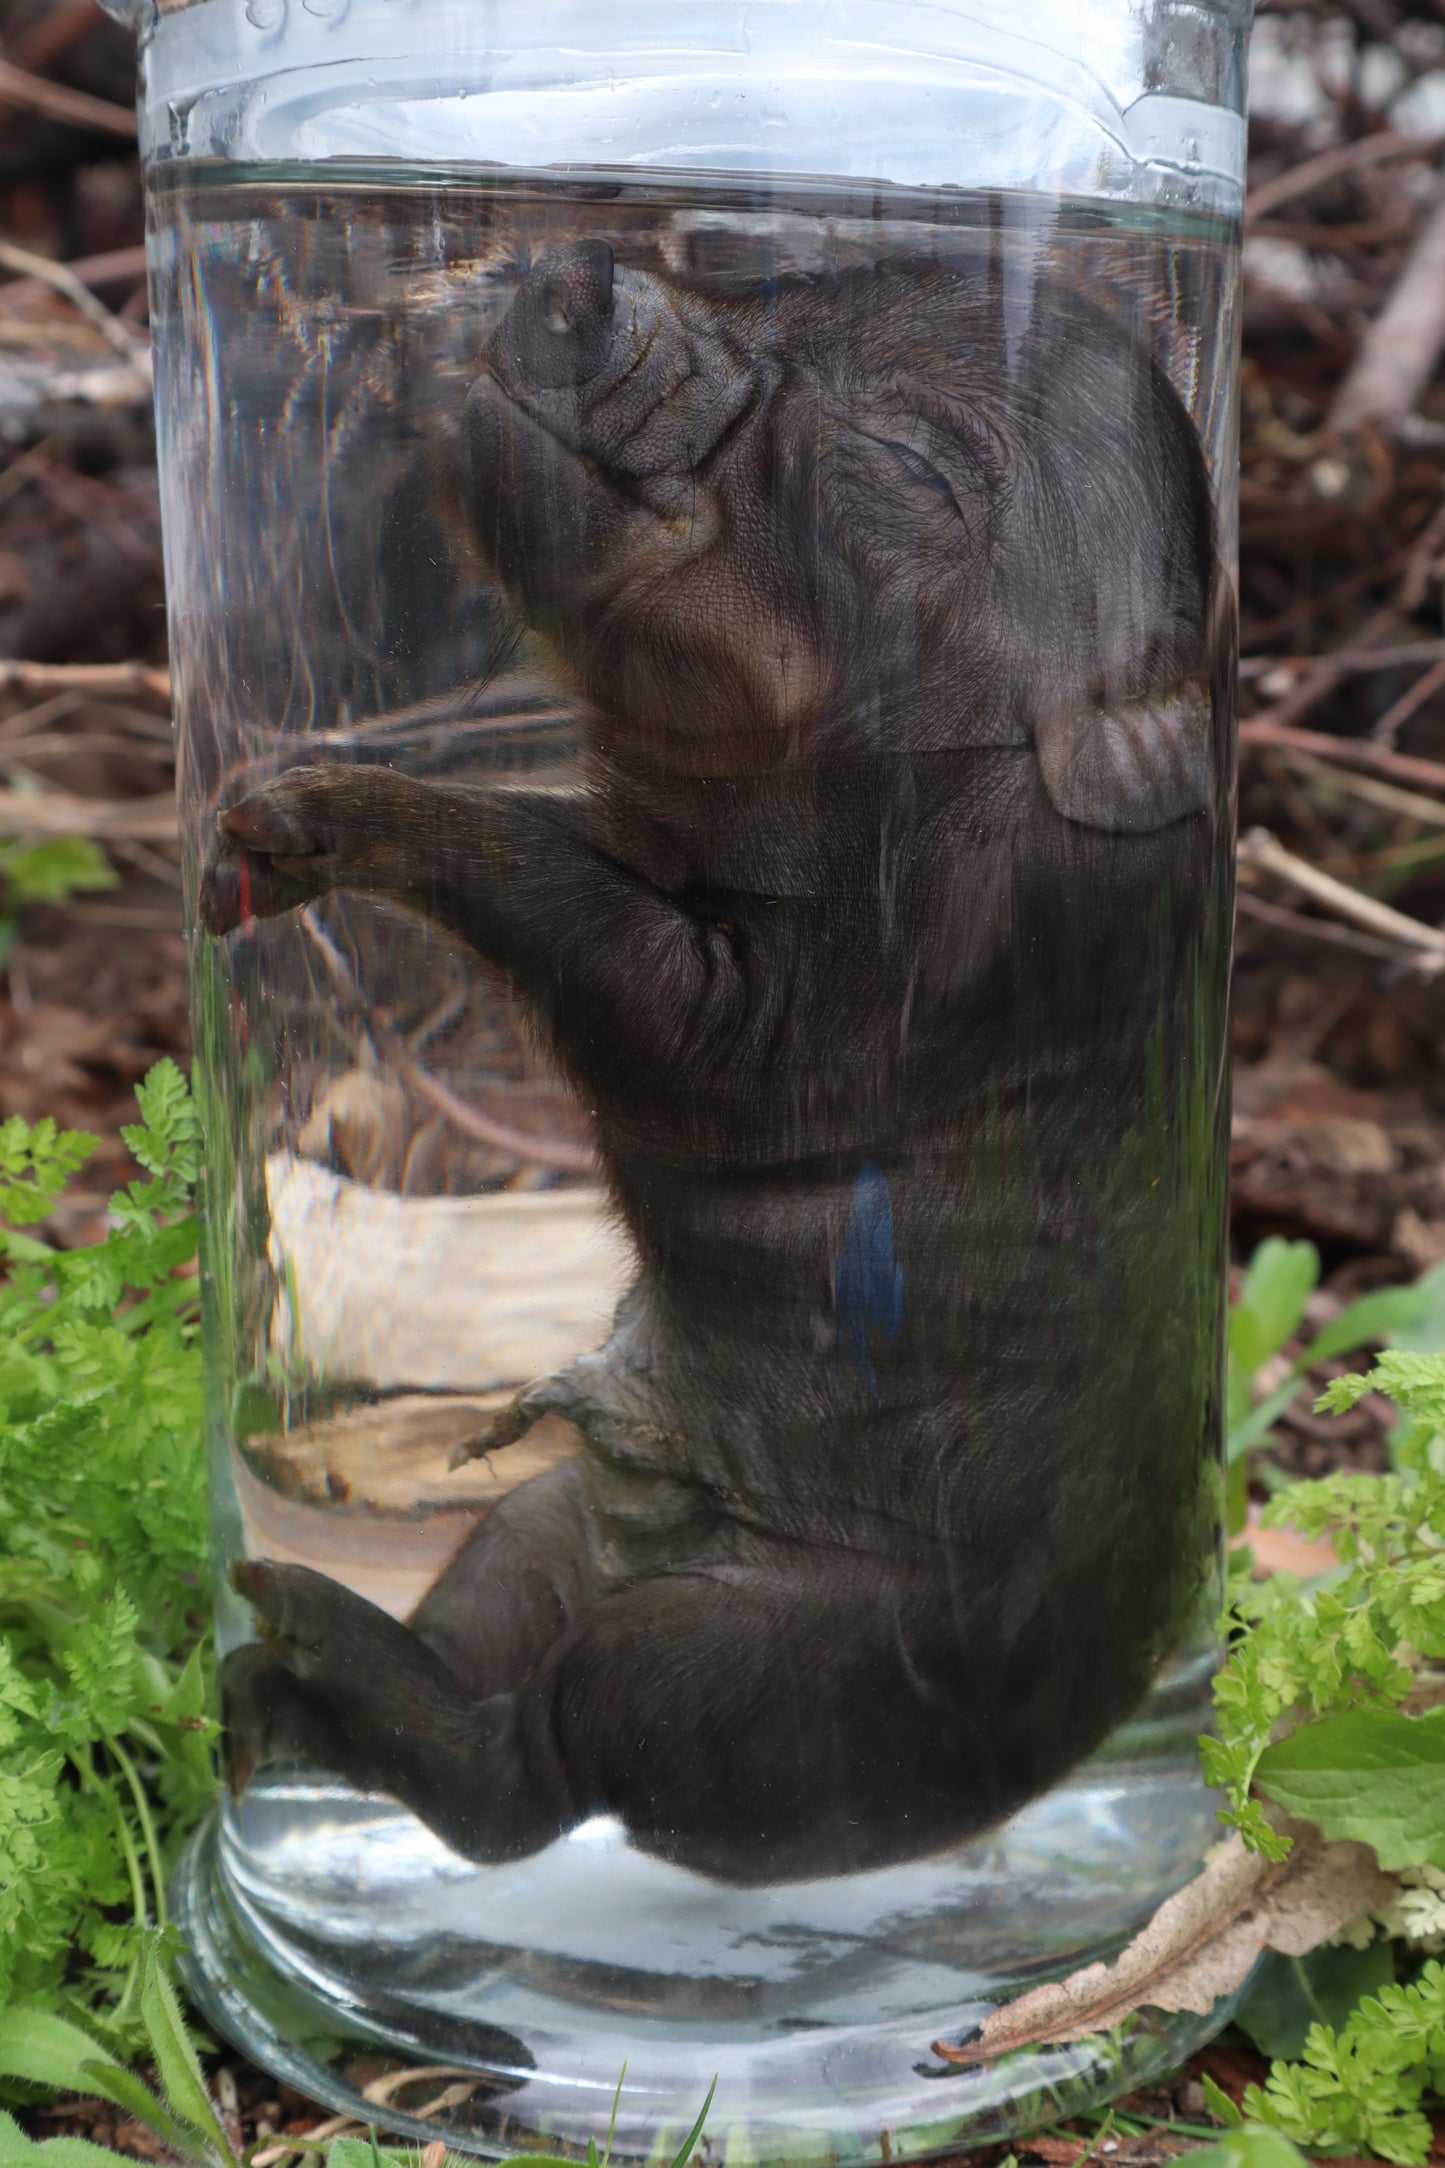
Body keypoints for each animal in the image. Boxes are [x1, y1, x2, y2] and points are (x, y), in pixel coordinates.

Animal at [204, 238, 1233, 1885]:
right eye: (790, 288)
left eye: (911, 462)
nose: (575, 275)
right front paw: (233, 863)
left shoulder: (863, 996)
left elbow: (591, 930)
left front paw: (295, 811)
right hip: (536, 1530)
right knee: (497, 1628)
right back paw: (271, 1693)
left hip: (738, 1668)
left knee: (535, 1775)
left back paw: (290, 1622)